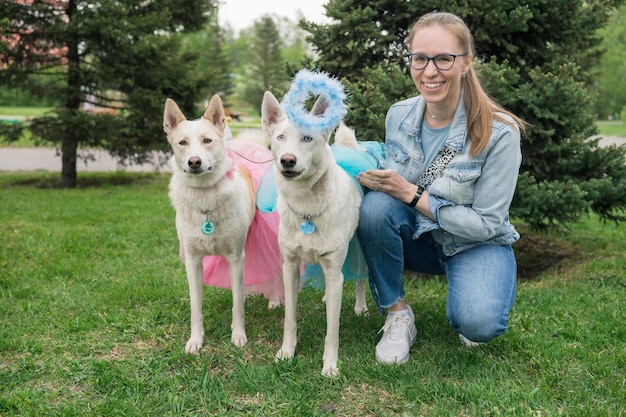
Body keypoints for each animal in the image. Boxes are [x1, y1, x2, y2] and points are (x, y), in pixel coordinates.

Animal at [165, 96, 258, 352]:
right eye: (182, 143)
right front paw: (195, 340)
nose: (194, 162)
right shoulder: (193, 261)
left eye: (207, 140)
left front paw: (238, 335)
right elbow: (196, 308)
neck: (205, 195)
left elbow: (236, 306)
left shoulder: (235, 257)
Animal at [260, 89, 366, 376]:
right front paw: (286, 352)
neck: (306, 205)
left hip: (359, 248)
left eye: (307, 138)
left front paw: (330, 365)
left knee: (360, 277)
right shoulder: (290, 267)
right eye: (280, 137)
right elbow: (290, 319)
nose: (287, 160)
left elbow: (332, 330)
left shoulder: (333, 267)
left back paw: (361, 306)